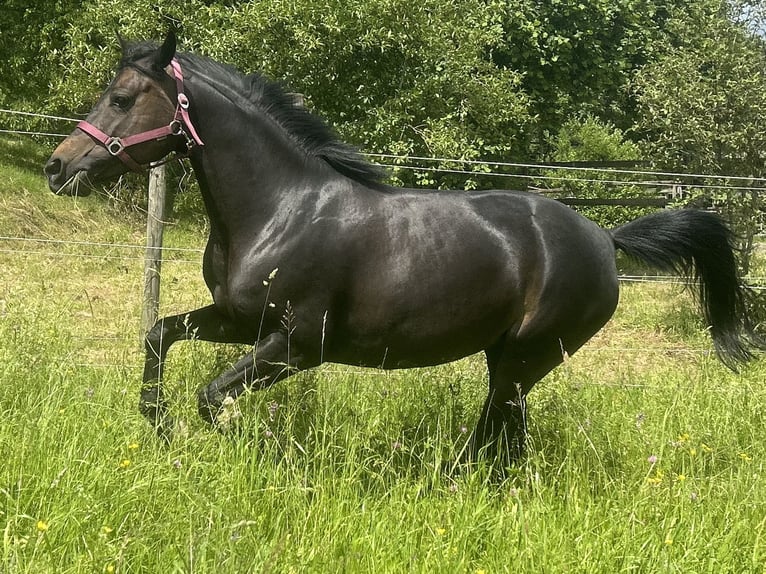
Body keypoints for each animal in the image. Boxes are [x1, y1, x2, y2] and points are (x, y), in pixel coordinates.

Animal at [46, 30, 760, 464]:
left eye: (122, 98)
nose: (58, 166)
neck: (282, 209)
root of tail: (605, 239)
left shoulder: (298, 345)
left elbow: (213, 395)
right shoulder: (237, 319)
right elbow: (159, 335)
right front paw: (157, 427)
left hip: (525, 358)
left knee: (499, 433)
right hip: (509, 358)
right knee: (505, 435)